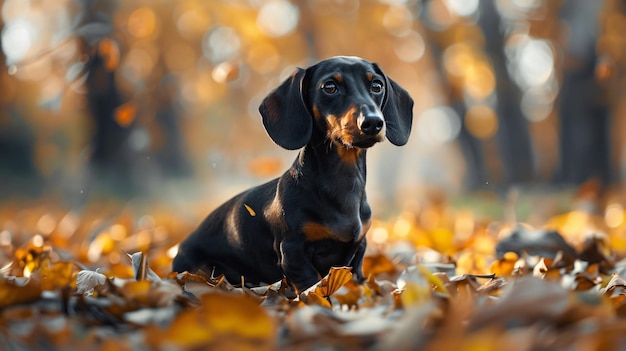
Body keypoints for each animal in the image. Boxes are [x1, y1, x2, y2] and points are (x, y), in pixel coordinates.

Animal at [173, 57, 412, 294]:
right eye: (330, 87)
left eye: (377, 85)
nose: (372, 122)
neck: (343, 183)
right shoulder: (292, 251)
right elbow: (311, 285)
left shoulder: (359, 248)